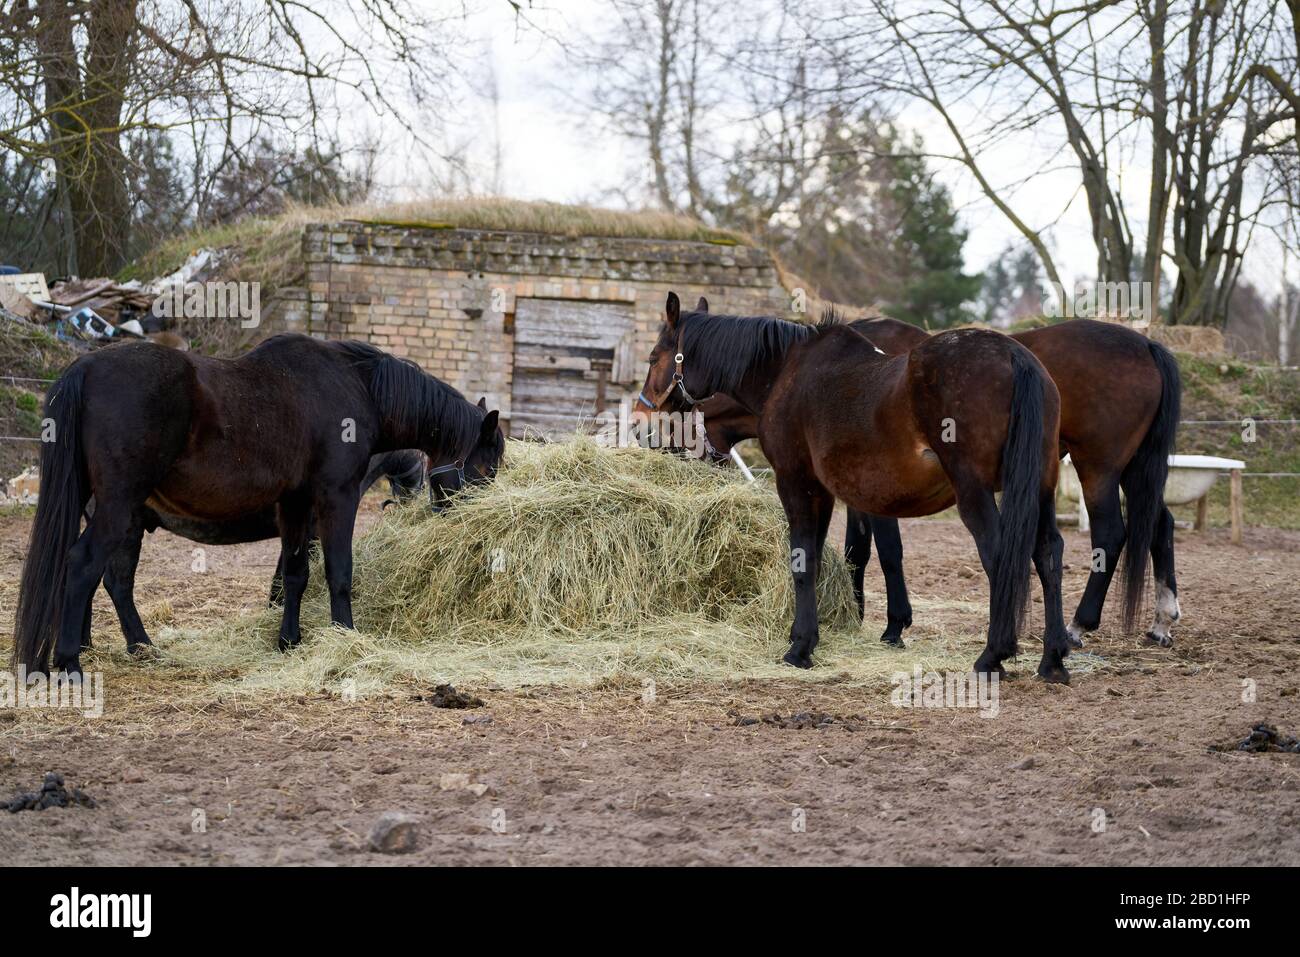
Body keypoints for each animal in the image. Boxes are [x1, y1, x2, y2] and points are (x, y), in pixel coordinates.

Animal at [13, 332, 501, 676]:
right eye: (488, 465)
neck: (356, 387)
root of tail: (86, 368)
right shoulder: (335, 500)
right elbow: (339, 573)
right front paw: (345, 636)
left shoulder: (295, 506)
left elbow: (294, 576)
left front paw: (289, 641)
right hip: (120, 510)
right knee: (87, 567)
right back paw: (73, 661)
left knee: (105, 578)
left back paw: (131, 648)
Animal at [634, 291, 1071, 681]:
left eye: (654, 358)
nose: (640, 422)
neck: (785, 372)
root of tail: (1015, 356)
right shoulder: (826, 492)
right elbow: (827, 556)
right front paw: (810, 636)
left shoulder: (796, 482)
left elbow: (804, 560)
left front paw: (800, 647)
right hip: (1040, 487)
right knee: (1048, 554)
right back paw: (1053, 659)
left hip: (974, 491)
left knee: (1000, 556)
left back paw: (993, 654)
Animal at [696, 312, 1185, 650]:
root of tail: (1146, 343)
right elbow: (858, 550)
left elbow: (885, 552)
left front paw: (891, 624)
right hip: (1133, 470)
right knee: (1158, 525)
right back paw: (1161, 618)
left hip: (1098, 468)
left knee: (1111, 534)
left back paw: (1079, 624)